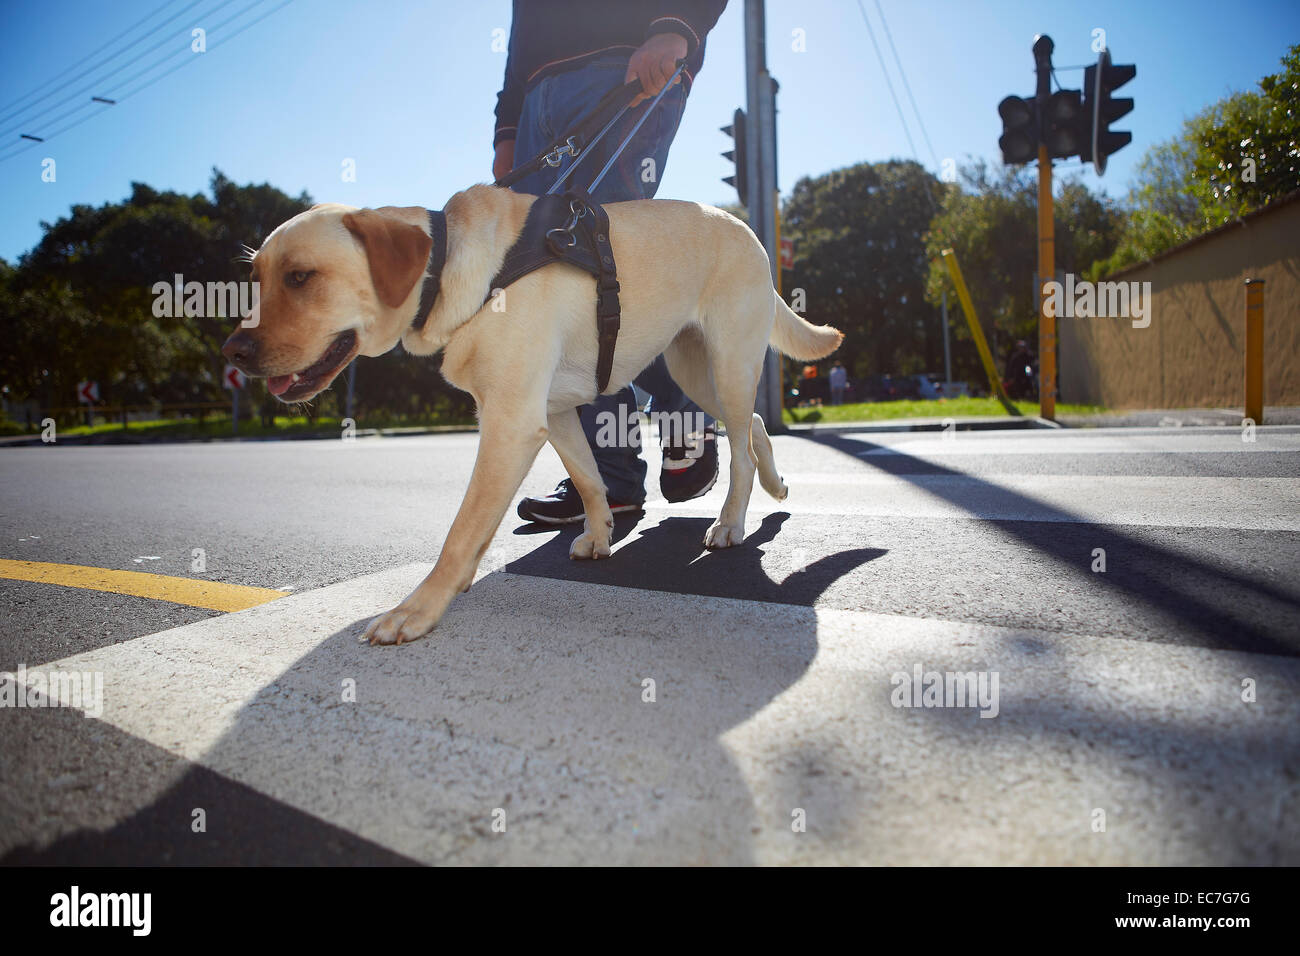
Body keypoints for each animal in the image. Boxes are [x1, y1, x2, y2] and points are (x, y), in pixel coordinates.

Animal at [223, 184, 842, 642]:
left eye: (301, 277)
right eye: (257, 279)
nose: (233, 351)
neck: (449, 270)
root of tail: (746, 229)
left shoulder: (510, 423)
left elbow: (461, 531)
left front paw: (418, 608)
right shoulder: (554, 412)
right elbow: (589, 480)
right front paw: (599, 533)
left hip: (727, 362)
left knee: (739, 446)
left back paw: (732, 521)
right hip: (694, 367)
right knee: (754, 425)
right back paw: (776, 484)